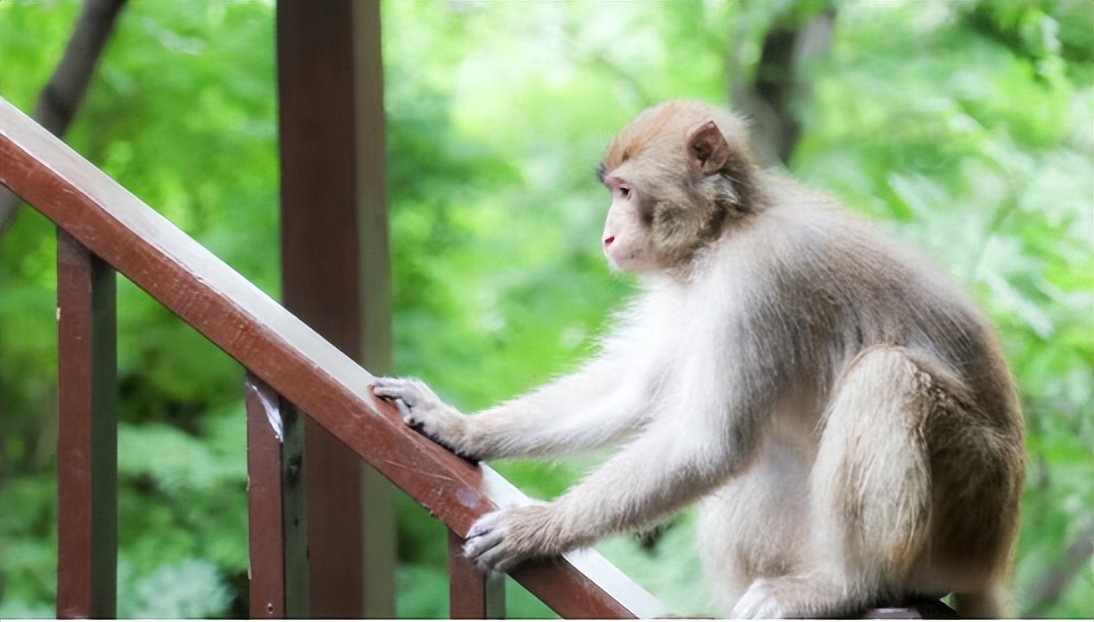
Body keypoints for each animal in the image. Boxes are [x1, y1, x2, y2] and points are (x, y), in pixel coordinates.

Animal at [374, 101, 1023, 616]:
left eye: (626, 193)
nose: (608, 236)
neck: (726, 230)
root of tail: (996, 558)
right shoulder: (688, 291)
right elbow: (636, 396)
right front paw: (458, 426)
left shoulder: (758, 280)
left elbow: (709, 442)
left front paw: (539, 527)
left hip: (971, 510)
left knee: (885, 375)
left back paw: (850, 585)